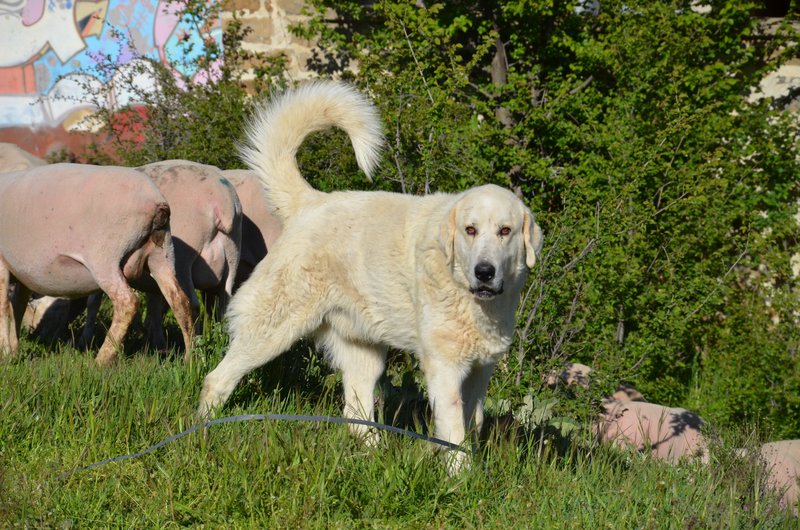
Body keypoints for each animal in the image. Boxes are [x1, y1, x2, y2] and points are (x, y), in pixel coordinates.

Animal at [0, 164, 194, 364]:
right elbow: (18, 307)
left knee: (127, 302)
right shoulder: (22, 274)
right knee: (180, 301)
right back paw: (190, 358)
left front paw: (6, 353)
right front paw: (14, 350)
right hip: (162, 254)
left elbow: (4, 308)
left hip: (105, 257)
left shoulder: (3, 263)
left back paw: (101, 360)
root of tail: (157, 203)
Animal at [198, 81, 544, 466]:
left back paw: (374, 454)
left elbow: (474, 421)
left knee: (355, 413)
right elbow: (455, 432)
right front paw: (461, 473)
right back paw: (202, 433)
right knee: (216, 379)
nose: (484, 271)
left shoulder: (481, 369)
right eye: (470, 230)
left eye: (504, 231)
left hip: (364, 352)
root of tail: (312, 202)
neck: (470, 297)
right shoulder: (444, 368)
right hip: (271, 330)